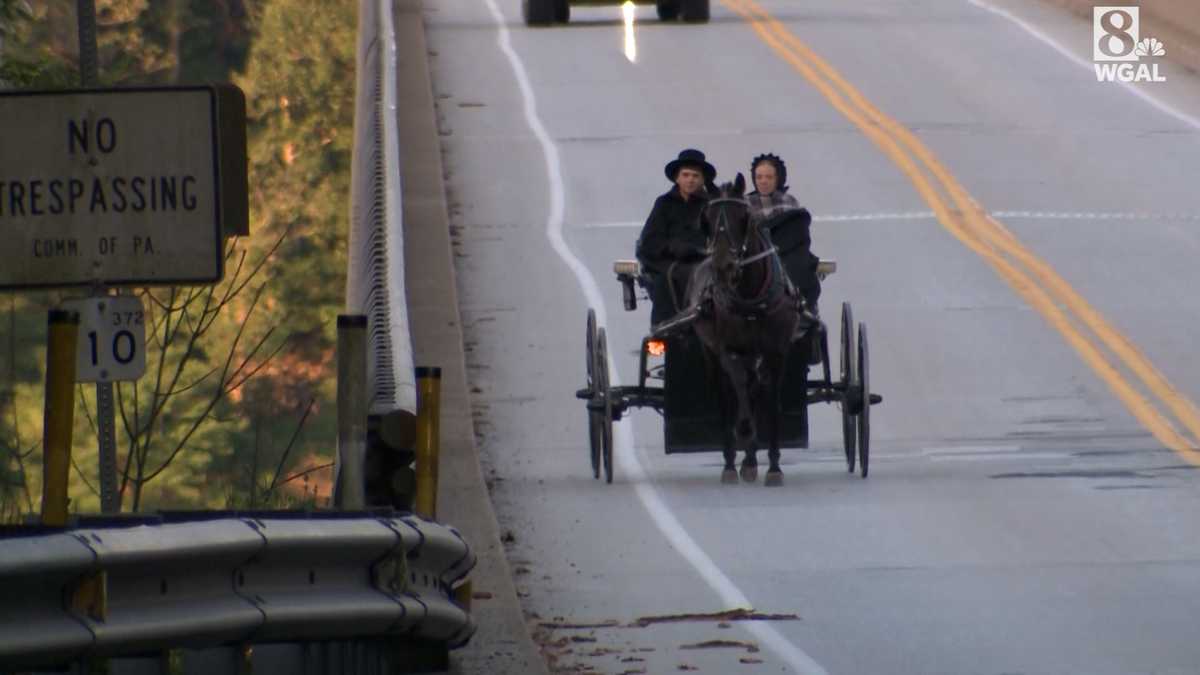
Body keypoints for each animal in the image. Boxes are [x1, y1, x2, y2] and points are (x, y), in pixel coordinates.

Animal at [691, 174, 801, 482]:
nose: (723, 267)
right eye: (707, 218)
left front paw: (773, 466)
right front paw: (743, 433)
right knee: (727, 397)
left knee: (753, 390)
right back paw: (731, 462)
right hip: (710, 352)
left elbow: (770, 399)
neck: (751, 297)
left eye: (743, 217)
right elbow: (738, 388)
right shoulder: (728, 349)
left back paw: (750, 460)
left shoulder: (777, 351)